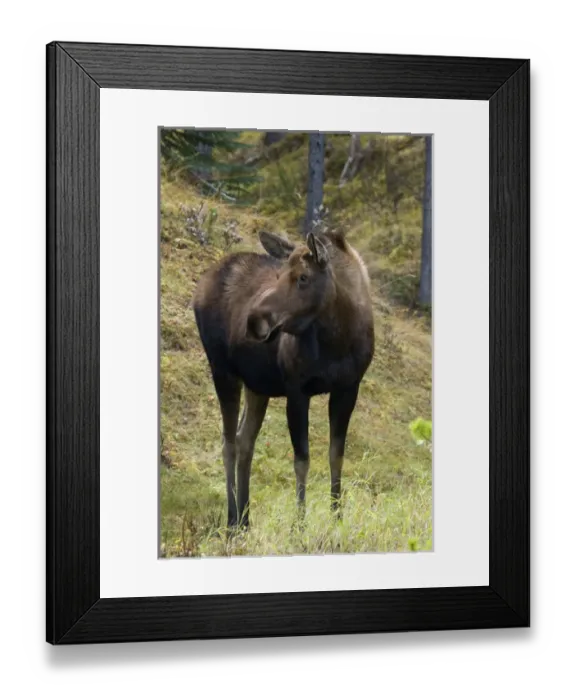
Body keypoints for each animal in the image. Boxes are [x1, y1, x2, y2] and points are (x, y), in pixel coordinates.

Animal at [192, 229, 374, 529]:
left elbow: (336, 456)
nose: (254, 321)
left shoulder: (348, 388)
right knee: (228, 443)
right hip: (222, 371)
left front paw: (337, 519)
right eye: (279, 275)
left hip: (257, 384)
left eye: (303, 277)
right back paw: (232, 519)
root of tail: (200, 286)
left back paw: (245, 518)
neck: (337, 338)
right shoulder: (297, 390)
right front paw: (299, 526)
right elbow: (302, 460)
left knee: (244, 440)